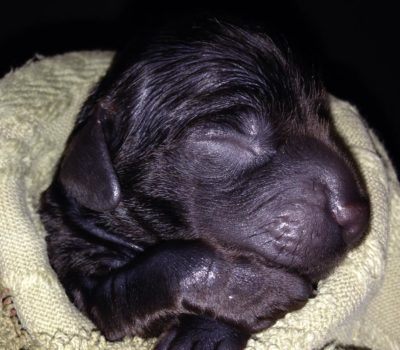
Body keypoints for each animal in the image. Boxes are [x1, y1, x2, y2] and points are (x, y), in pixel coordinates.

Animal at [39, 21, 370, 350]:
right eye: (229, 136)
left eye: (324, 118)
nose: (356, 217)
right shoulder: (75, 253)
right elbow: (141, 277)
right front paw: (258, 286)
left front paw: (205, 335)